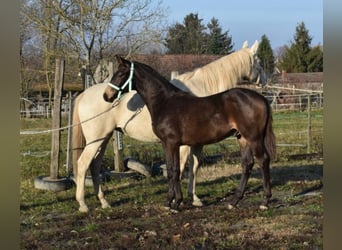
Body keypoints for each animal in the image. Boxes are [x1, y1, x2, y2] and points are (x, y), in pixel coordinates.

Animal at [73, 41, 264, 213]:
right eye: (258, 61)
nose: (107, 96)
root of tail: (83, 95)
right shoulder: (184, 144)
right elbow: (182, 168)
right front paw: (183, 199)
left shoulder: (195, 142)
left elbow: (193, 167)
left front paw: (191, 198)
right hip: (96, 140)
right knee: (83, 164)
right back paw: (82, 204)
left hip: (103, 139)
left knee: (94, 166)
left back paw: (104, 202)